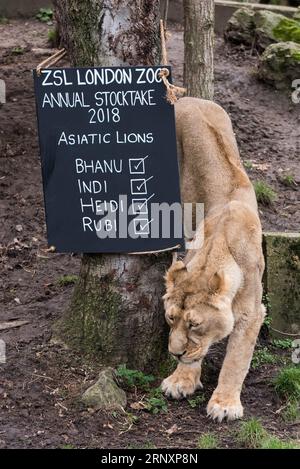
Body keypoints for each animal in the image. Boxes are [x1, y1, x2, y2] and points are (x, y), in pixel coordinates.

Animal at [162, 97, 264, 422]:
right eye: (170, 317)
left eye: (195, 324)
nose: (174, 353)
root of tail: (188, 98)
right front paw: (181, 379)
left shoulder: (253, 313)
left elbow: (236, 360)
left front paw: (225, 404)